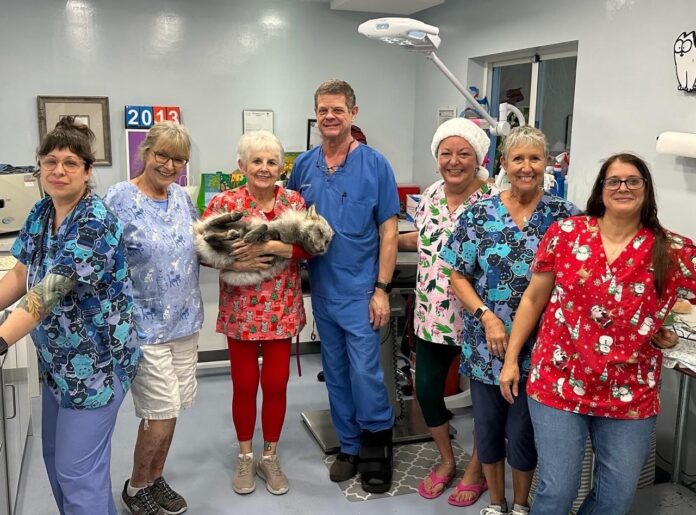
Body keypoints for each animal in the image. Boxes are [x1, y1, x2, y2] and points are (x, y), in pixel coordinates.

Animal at [194, 204, 336, 286]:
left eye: (327, 241)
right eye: (320, 232)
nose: (322, 250)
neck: (291, 237)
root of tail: (200, 232)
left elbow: (268, 232)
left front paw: (257, 236)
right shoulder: (268, 226)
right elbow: (264, 225)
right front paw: (252, 235)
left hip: (224, 248)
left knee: (211, 238)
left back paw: (229, 234)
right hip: (237, 225)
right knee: (214, 223)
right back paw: (234, 217)